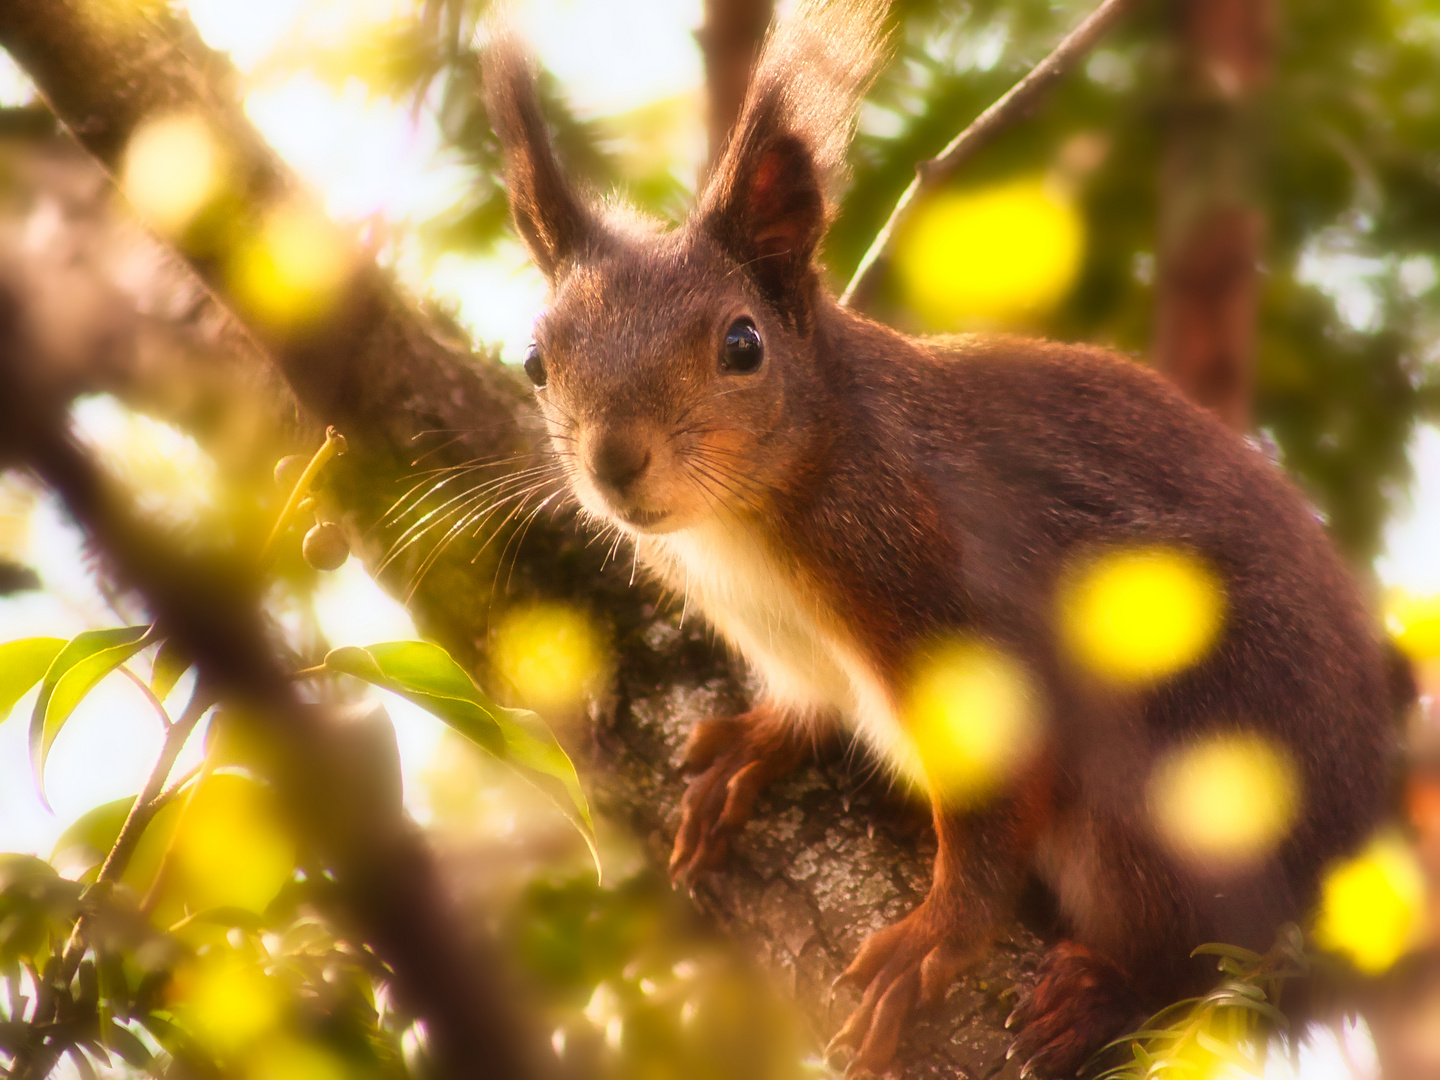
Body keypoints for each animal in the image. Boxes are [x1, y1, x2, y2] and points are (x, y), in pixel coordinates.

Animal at [480, 4, 1393, 1077]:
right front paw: (757, 744)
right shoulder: (788, 644)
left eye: (743, 345)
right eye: (536, 361)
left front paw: (937, 937)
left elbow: (995, 803)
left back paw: (1106, 992)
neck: (747, 529)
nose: (615, 461)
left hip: (1188, 786)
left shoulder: (940, 582)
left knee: (1190, 958)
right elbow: (804, 703)